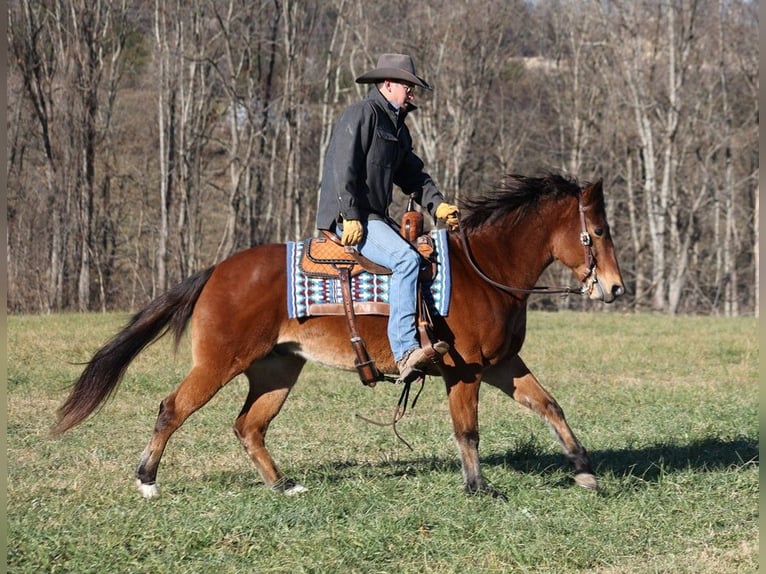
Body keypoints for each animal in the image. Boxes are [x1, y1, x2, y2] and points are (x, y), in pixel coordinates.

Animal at [55, 174, 632, 500]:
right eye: (599, 232)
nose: (615, 287)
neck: (485, 270)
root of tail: (218, 269)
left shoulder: (502, 365)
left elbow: (550, 406)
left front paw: (584, 471)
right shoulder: (464, 371)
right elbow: (467, 431)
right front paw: (478, 488)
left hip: (276, 370)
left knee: (248, 427)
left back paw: (282, 485)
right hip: (219, 362)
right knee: (172, 408)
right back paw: (147, 480)